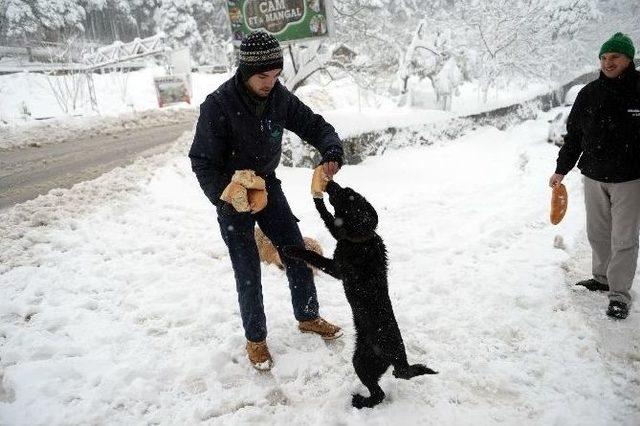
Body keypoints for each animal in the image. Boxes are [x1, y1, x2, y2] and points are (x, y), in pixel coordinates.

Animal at [284, 181, 438, 410]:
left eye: (348, 195)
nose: (331, 183)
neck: (363, 239)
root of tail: (400, 359)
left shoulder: (336, 267)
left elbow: (314, 251)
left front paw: (291, 249)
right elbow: (331, 222)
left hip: (363, 362)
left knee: (379, 393)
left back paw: (360, 401)